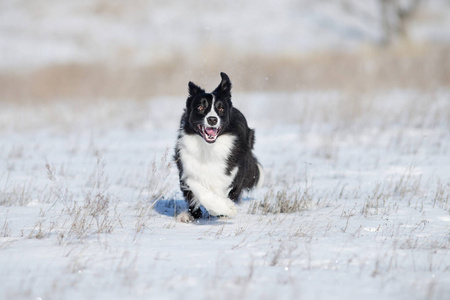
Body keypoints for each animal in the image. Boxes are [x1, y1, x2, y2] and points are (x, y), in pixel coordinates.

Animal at [173, 71, 264, 221]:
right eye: (200, 107)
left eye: (221, 108)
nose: (212, 119)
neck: (209, 148)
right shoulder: (186, 167)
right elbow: (198, 188)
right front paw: (224, 207)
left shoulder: (232, 172)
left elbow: (224, 189)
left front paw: (225, 209)